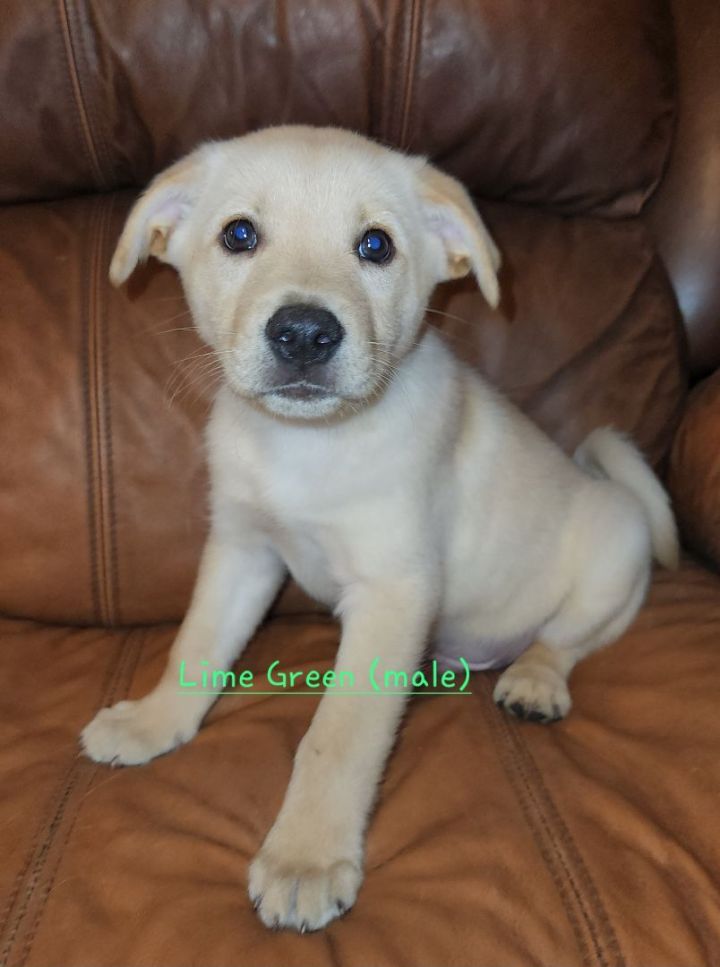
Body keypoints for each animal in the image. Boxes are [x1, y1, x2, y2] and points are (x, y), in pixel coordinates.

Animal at [81, 125, 676, 932]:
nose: (304, 333)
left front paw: (305, 858)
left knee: (565, 640)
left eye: (375, 246)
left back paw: (533, 680)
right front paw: (153, 722)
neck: (307, 445)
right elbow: (196, 645)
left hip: (617, 548)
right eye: (239, 234)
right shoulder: (242, 550)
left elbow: (338, 739)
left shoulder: (392, 592)